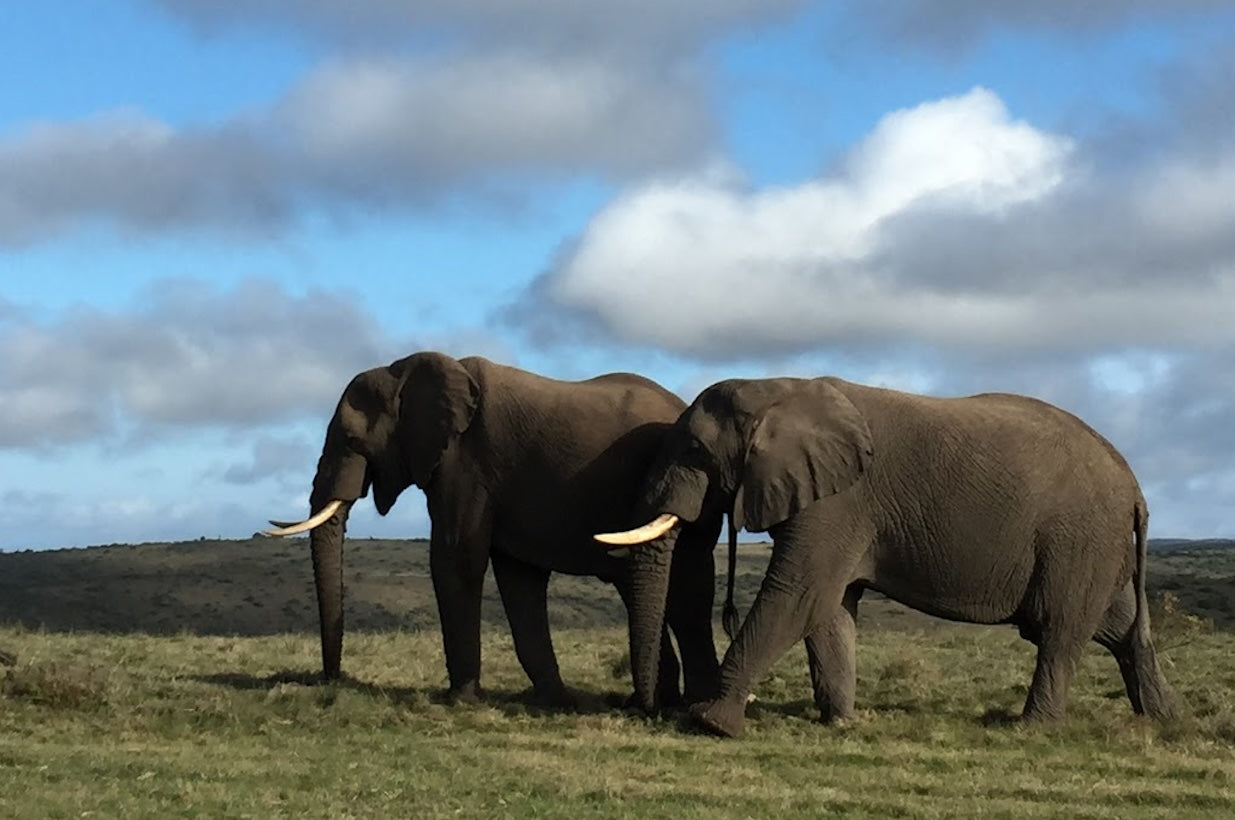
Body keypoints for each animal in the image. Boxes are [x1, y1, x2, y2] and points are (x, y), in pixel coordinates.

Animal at [266, 351, 721, 708]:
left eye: (351, 440)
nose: (332, 680)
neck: (407, 371)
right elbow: (518, 578)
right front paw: (555, 702)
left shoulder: (467, 465)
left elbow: (455, 559)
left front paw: (459, 701)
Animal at [598, 376, 1181, 737]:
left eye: (695, 451)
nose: (652, 712)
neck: (777, 388)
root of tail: (1134, 486)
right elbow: (831, 608)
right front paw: (841, 724)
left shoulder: (839, 501)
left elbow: (799, 594)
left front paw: (710, 723)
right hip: (1094, 545)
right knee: (1117, 625)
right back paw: (1165, 721)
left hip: (1077, 539)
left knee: (1059, 632)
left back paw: (1032, 729)